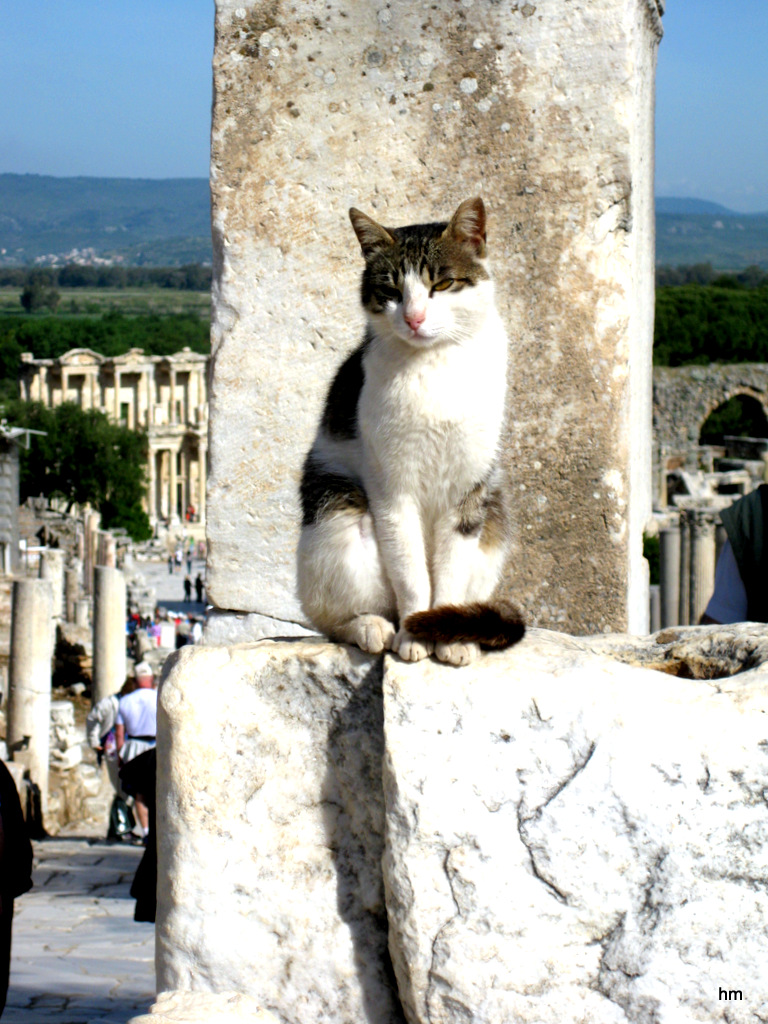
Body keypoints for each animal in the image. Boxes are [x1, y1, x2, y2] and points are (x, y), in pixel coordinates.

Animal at [296, 196, 528, 667]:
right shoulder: (392, 493)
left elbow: (450, 575)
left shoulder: (467, 492)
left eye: (442, 283)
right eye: (391, 291)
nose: (415, 317)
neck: (435, 365)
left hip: (494, 520)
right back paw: (372, 626)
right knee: (329, 617)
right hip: (337, 518)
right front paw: (413, 636)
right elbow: (411, 575)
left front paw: (448, 636)